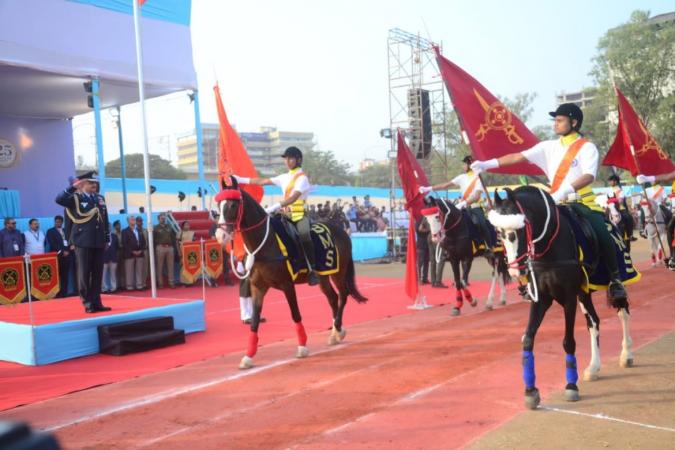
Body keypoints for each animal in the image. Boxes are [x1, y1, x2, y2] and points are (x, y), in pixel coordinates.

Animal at [217, 178, 368, 370]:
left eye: (232, 205)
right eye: (218, 205)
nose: (220, 235)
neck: (265, 243)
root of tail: (341, 230)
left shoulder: (287, 285)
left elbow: (295, 314)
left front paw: (302, 346)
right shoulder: (257, 287)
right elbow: (255, 320)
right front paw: (248, 356)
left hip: (338, 273)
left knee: (343, 295)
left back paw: (338, 329)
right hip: (323, 277)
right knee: (333, 298)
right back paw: (336, 331)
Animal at [486, 185, 632, 410]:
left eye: (520, 229)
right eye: (499, 233)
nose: (516, 271)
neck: (549, 248)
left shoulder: (569, 299)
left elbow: (568, 342)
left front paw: (571, 386)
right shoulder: (541, 299)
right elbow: (528, 339)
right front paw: (530, 391)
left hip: (614, 282)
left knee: (623, 312)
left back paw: (626, 354)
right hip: (584, 292)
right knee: (594, 322)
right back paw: (593, 367)